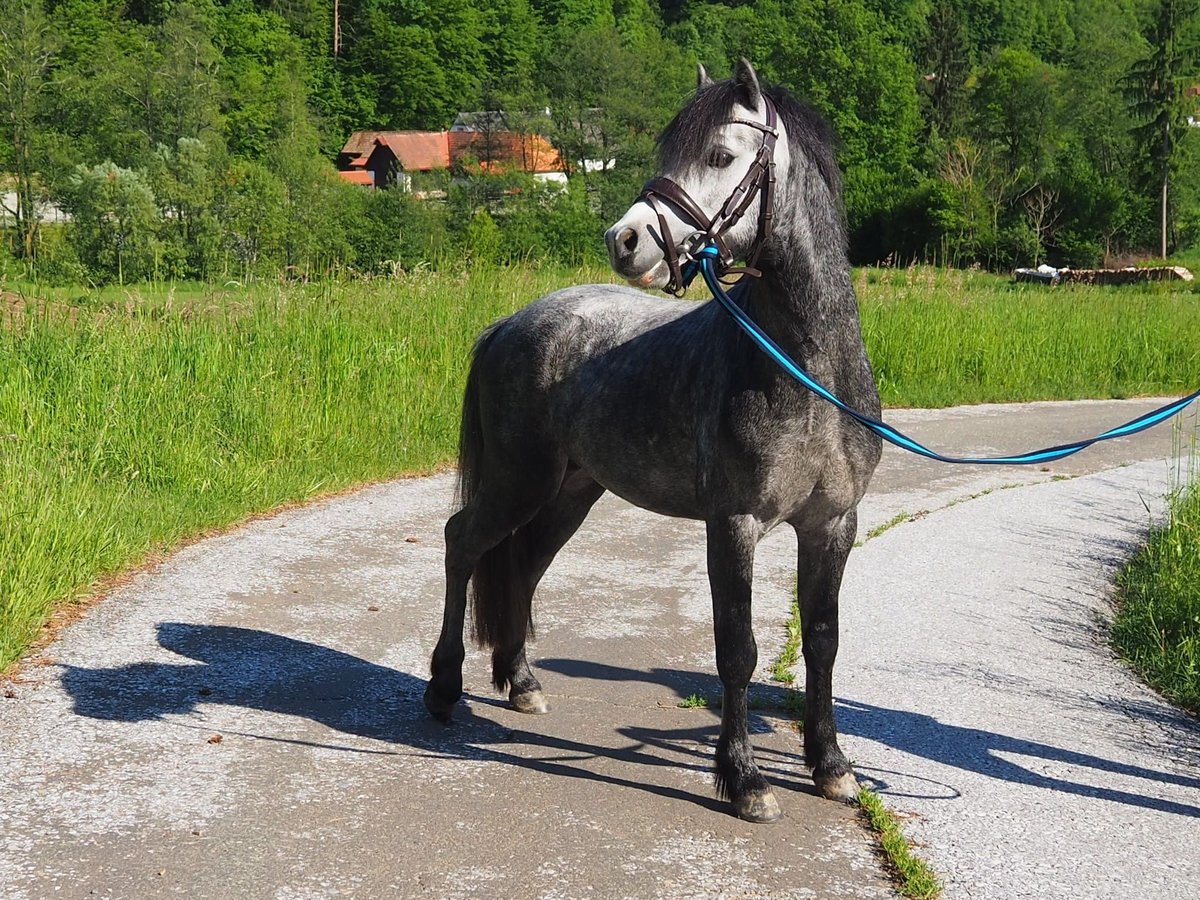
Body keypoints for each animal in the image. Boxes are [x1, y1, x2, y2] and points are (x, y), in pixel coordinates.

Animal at [424, 61, 883, 825]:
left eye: (721, 156)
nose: (625, 239)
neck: (805, 368)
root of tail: (509, 324)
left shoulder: (832, 524)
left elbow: (823, 642)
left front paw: (830, 766)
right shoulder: (734, 524)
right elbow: (737, 651)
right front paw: (744, 779)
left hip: (568, 494)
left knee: (523, 567)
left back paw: (521, 682)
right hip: (519, 482)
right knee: (464, 542)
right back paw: (441, 687)